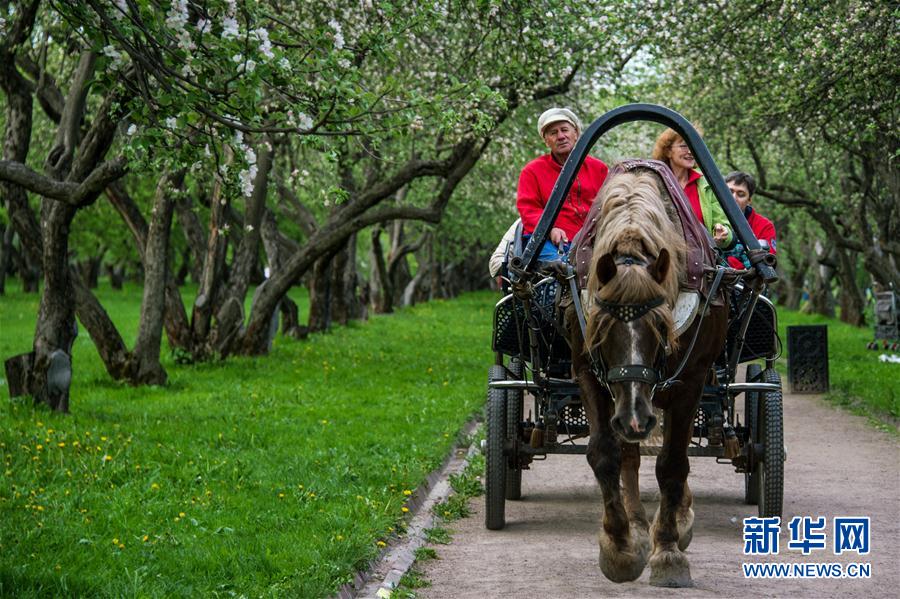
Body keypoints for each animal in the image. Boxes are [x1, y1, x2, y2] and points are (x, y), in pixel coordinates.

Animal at [568, 168, 732, 584]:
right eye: (602, 326)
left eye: (661, 325)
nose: (635, 418)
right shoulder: (588, 371)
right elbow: (606, 455)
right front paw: (621, 548)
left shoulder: (690, 380)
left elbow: (673, 464)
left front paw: (668, 553)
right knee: (629, 455)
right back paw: (639, 526)